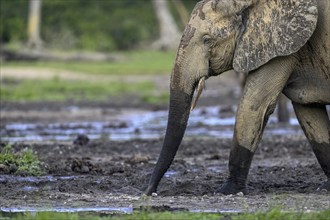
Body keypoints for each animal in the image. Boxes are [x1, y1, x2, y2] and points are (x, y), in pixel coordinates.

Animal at [145, 0, 330, 196]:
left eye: (207, 40)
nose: (149, 192)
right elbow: (309, 111)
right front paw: (327, 187)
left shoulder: (281, 46)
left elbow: (254, 104)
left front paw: (226, 191)